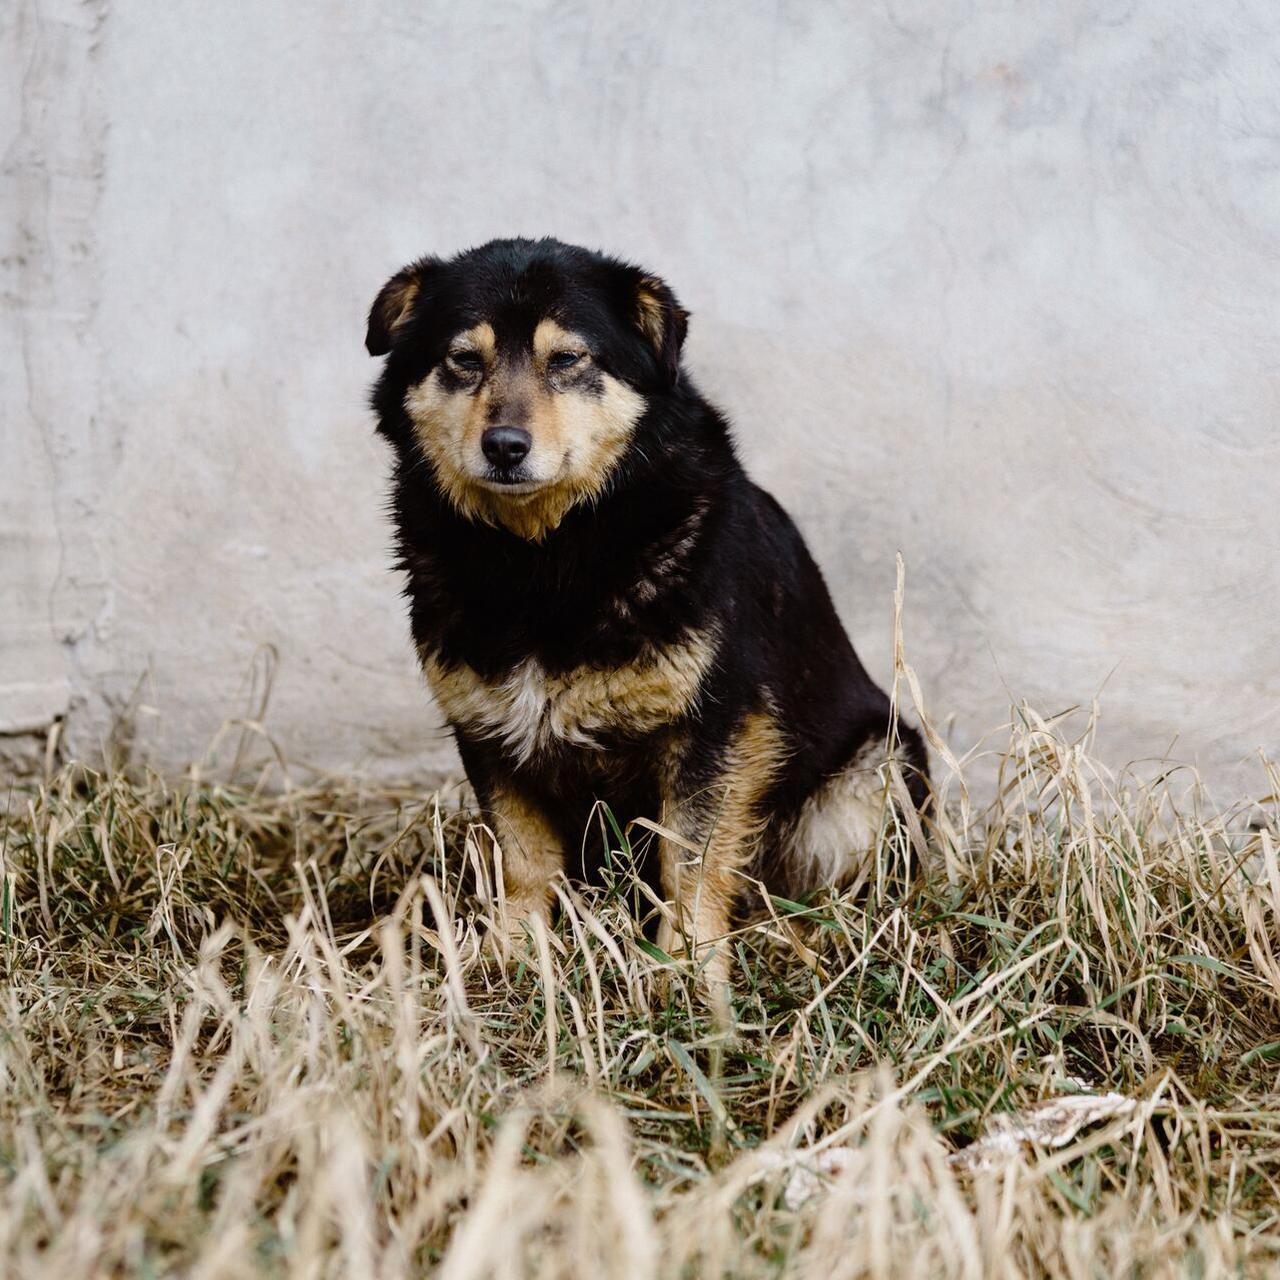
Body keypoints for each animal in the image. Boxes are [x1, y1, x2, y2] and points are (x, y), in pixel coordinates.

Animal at [366, 238, 926, 977]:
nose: (505, 447)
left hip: (875, 771)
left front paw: (687, 973)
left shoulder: (717, 728)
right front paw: (513, 957)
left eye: (567, 359)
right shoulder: (487, 729)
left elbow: (689, 862)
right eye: (463, 358)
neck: (541, 557)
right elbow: (523, 860)